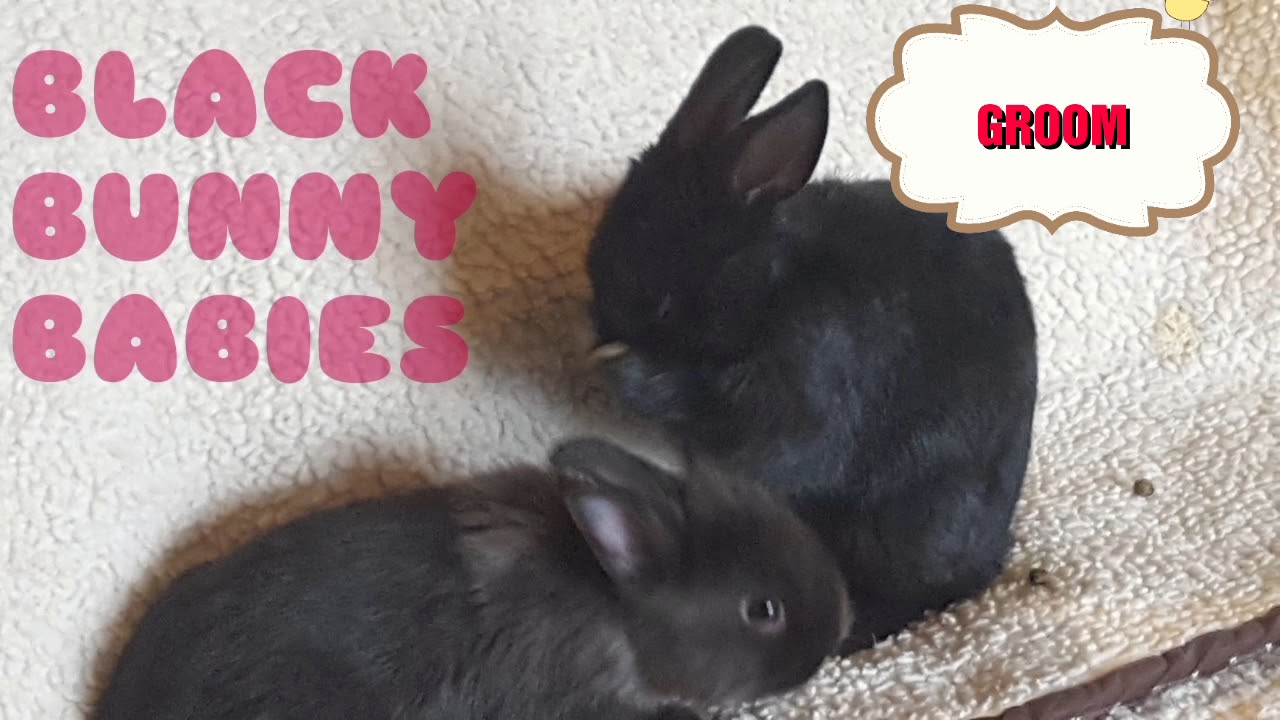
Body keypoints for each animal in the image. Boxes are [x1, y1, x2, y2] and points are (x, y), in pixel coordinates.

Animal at [584, 25, 1039, 654]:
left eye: (661, 301)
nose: (598, 328)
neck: (775, 286)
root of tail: (992, 554)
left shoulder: (804, 387)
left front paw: (623, 372)